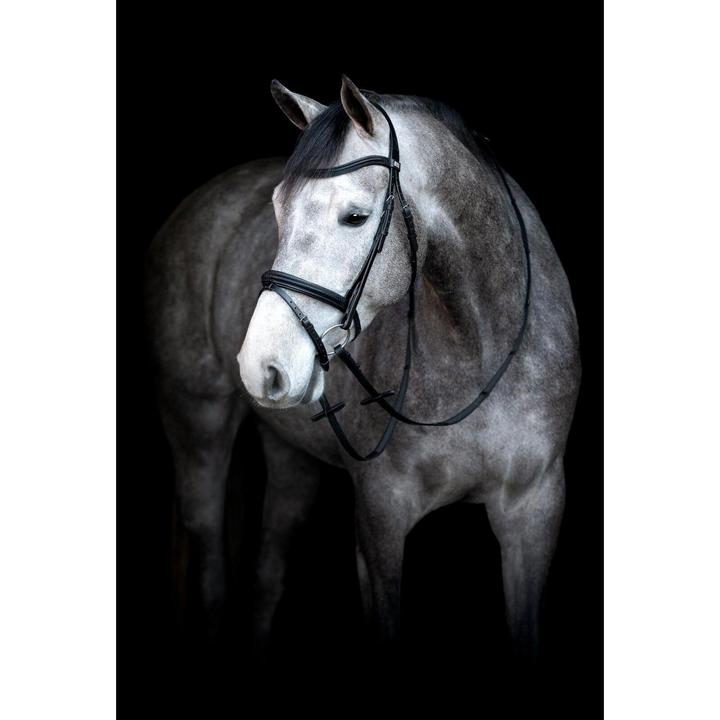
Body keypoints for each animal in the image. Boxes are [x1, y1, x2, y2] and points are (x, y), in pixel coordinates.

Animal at [144, 75, 580, 658]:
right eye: (278, 207)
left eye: (354, 216)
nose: (261, 365)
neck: (481, 346)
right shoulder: (381, 515)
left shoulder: (534, 512)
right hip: (199, 429)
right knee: (213, 577)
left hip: (290, 456)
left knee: (266, 577)